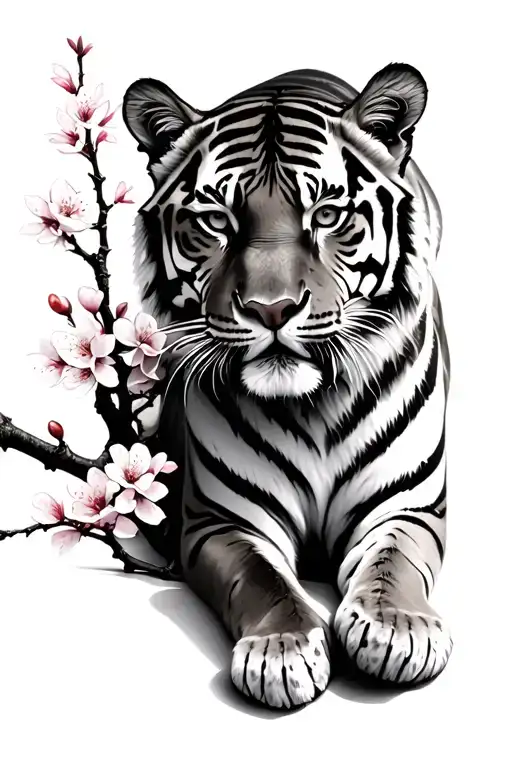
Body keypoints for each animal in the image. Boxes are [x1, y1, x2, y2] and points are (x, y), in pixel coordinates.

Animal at [122, 63, 453, 709]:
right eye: (217, 221)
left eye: (326, 215)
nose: (270, 309)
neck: (315, 405)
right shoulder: (223, 521)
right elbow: (261, 579)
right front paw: (281, 652)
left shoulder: (409, 504)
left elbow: (393, 562)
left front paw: (398, 629)